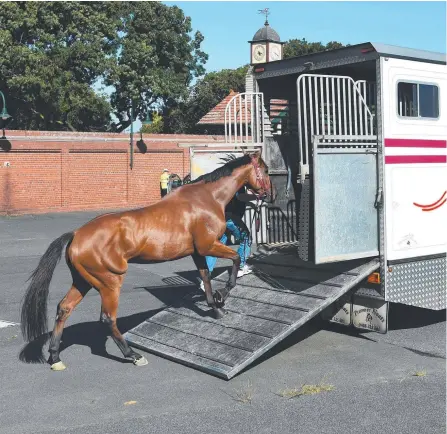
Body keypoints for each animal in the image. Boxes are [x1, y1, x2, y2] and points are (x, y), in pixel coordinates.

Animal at [20, 151, 272, 372]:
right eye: (266, 170)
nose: (270, 194)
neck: (206, 198)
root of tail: (76, 235)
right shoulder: (208, 246)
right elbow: (235, 260)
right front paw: (222, 296)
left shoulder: (198, 252)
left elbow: (206, 277)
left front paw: (215, 307)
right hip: (109, 283)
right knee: (108, 319)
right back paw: (133, 355)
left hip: (84, 282)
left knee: (64, 309)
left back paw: (55, 357)